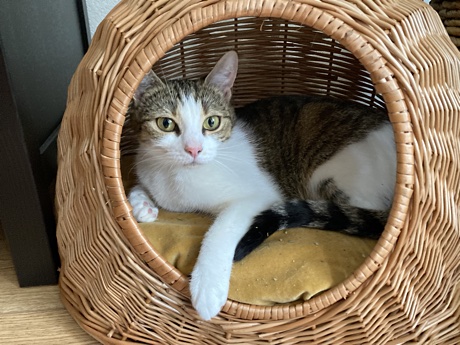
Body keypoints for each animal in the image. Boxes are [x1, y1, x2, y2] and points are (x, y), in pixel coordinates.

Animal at [126, 50, 396, 320]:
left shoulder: (259, 196)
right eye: (165, 124)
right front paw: (142, 206)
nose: (194, 149)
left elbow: (221, 229)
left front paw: (207, 287)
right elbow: (138, 188)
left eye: (211, 122)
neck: (178, 177)